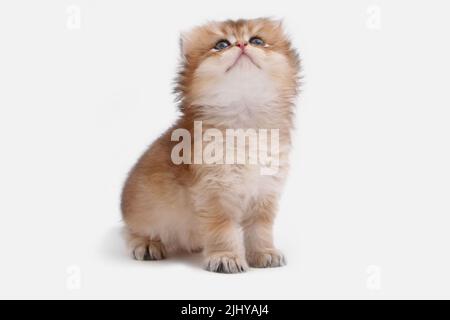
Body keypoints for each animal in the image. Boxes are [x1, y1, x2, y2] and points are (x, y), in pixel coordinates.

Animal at [121, 18, 300, 272]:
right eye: (221, 44)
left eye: (257, 40)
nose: (242, 45)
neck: (245, 125)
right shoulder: (214, 192)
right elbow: (222, 229)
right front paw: (226, 257)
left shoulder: (266, 191)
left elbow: (260, 229)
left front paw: (264, 253)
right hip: (143, 211)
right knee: (133, 231)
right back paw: (146, 244)